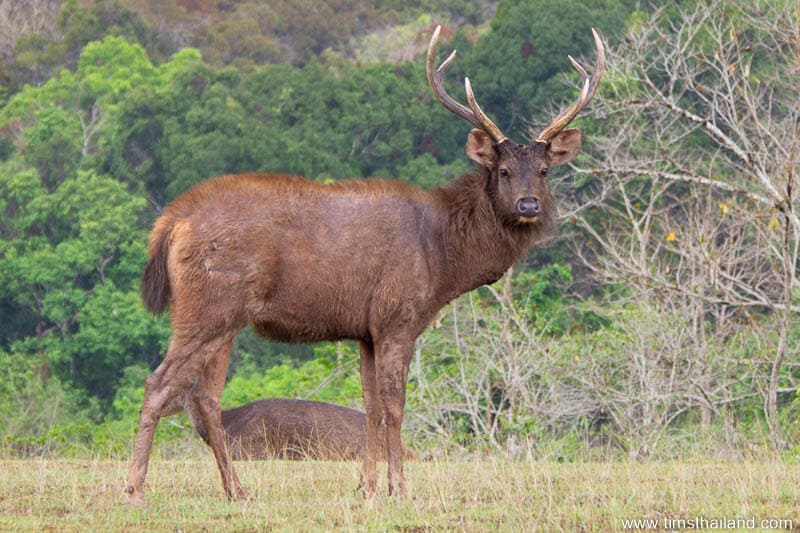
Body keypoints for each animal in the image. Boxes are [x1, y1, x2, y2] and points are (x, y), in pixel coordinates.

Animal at [125, 23, 604, 498]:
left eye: (543, 171)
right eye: (503, 171)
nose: (528, 205)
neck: (443, 258)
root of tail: (172, 221)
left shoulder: (365, 329)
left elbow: (370, 406)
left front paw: (367, 485)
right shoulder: (397, 315)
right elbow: (395, 404)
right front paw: (399, 487)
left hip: (223, 319)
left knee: (204, 398)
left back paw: (237, 490)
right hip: (207, 307)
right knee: (159, 384)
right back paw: (135, 487)